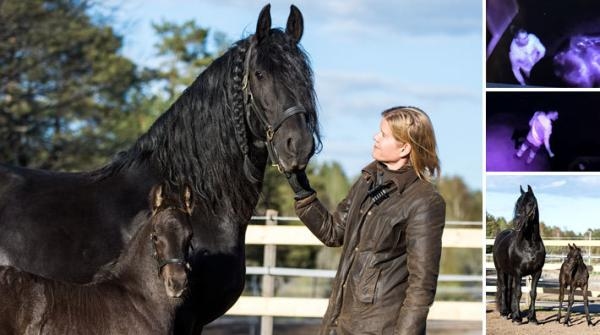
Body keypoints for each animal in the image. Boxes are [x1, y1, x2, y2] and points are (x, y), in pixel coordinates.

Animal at [494, 186, 548, 326]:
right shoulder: (518, 272)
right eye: (517, 204)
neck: (530, 246)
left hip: (510, 273)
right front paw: (517, 318)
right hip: (500, 270)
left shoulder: (537, 272)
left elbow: (533, 293)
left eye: (529, 204)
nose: (517, 222)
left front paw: (532, 318)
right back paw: (504, 312)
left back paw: (510, 312)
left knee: (510, 290)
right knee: (504, 288)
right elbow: (518, 293)